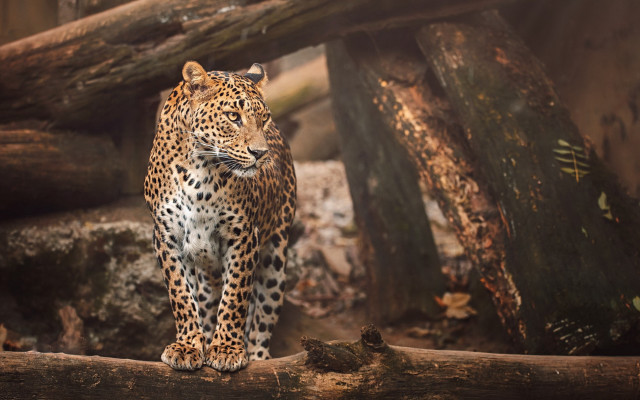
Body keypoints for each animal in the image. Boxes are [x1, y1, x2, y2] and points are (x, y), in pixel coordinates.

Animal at [144, 60, 296, 372]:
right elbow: (181, 294)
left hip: (276, 257)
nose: (260, 153)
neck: (199, 169)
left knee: (263, 316)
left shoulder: (244, 236)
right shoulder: (166, 237)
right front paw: (188, 346)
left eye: (264, 119)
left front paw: (226, 349)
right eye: (233, 116)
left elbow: (235, 295)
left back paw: (257, 356)